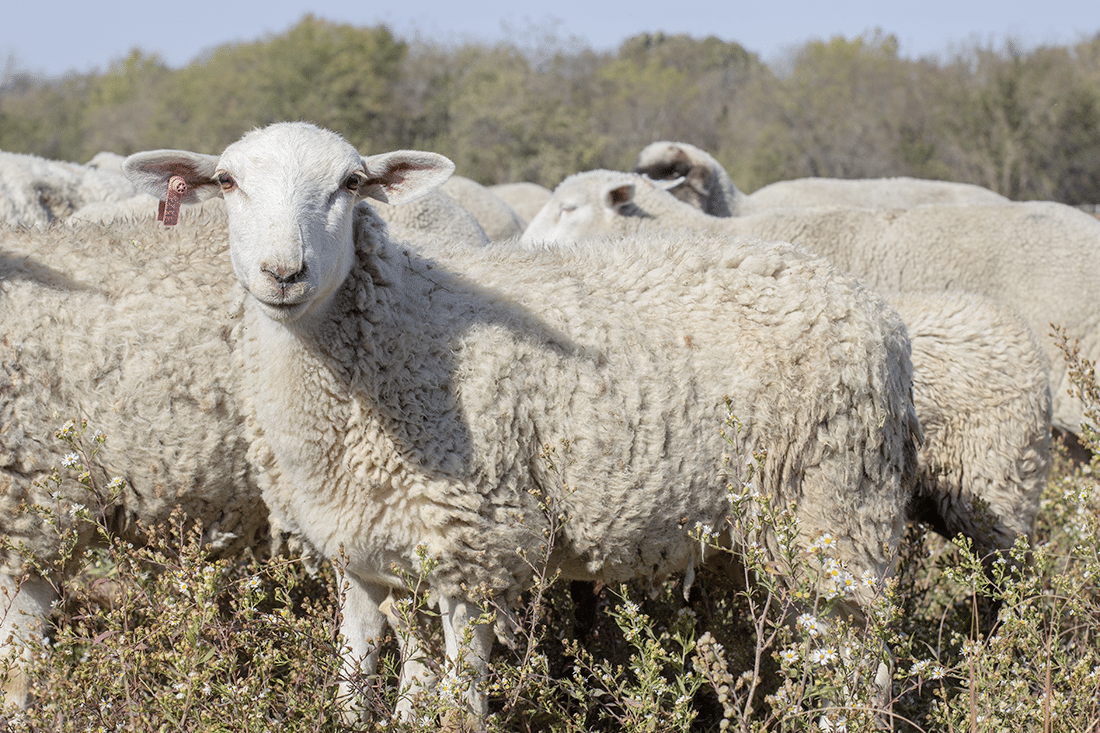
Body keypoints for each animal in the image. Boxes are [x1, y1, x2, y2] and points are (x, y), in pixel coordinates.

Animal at [124, 122, 924, 717]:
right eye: (228, 183)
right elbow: (359, 686)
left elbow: (457, 706)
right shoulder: (365, 551)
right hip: (812, 527)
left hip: (838, 506)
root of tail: (875, 311)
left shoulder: (475, 547)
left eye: (351, 185)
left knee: (866, 667)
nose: (284, 274)